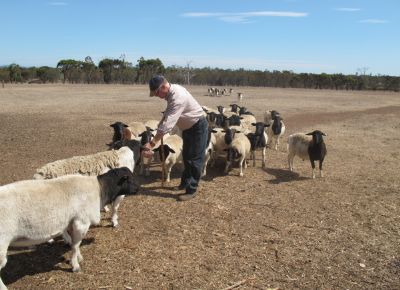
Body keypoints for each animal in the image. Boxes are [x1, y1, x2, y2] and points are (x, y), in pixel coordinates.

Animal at [0, 167, 139, 288]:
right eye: (129, 179)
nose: (138, 188)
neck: (100, 190)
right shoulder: (81, 222)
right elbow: (75, 245)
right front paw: (75, 265)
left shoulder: (73, 222)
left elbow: (76, 243)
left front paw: (79, 257)